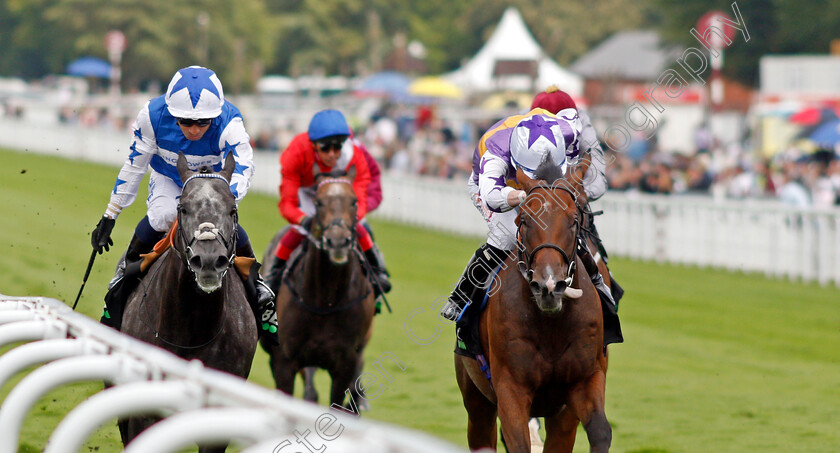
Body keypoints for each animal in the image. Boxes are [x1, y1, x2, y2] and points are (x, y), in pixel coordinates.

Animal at [260, 172, 376, 410]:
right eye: (318, 202)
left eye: (354, 202)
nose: (338, 241)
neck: (326, 299)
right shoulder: (285, 361)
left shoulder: (345, 364)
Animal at [456, 162, 612, 452]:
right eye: (524, 220)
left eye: (574, 220)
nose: (548, 285)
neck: (551, 326)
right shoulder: (511, 389)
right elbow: (518, 439)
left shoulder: (583, 384)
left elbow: (600, 432)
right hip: (476, 397)